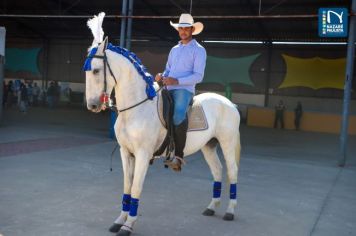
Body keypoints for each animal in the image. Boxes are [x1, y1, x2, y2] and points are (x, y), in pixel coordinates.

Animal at [84, 13, 242, 236]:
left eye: (97, 71)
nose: (93, 105)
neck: (137, 107)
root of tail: (229, 104)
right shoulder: (126, 152)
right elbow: (127, 186)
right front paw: (119, 220)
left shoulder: (142, 154)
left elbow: (136, 188)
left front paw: (128, 225)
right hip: (209, 146)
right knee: (218, 170)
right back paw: (212, 207)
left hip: (227, 143)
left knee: (232, 171)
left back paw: (229, 211)